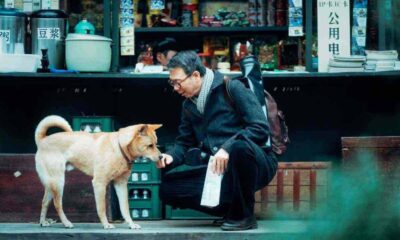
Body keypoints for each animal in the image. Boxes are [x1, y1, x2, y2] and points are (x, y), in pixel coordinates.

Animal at [34, 115, 162, 230]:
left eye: (156, 144)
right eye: (150, 145)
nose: (161, 156)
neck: (119, 148)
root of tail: (42, 140)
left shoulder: (121, 184)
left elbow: (125, 208)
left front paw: (131, 224)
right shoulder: (99, 183)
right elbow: (101, 208)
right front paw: (106, 224)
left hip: (51, 183)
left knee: (44, 202)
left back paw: (43, 222)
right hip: (59, 182)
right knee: (57, 204)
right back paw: (66, 223)